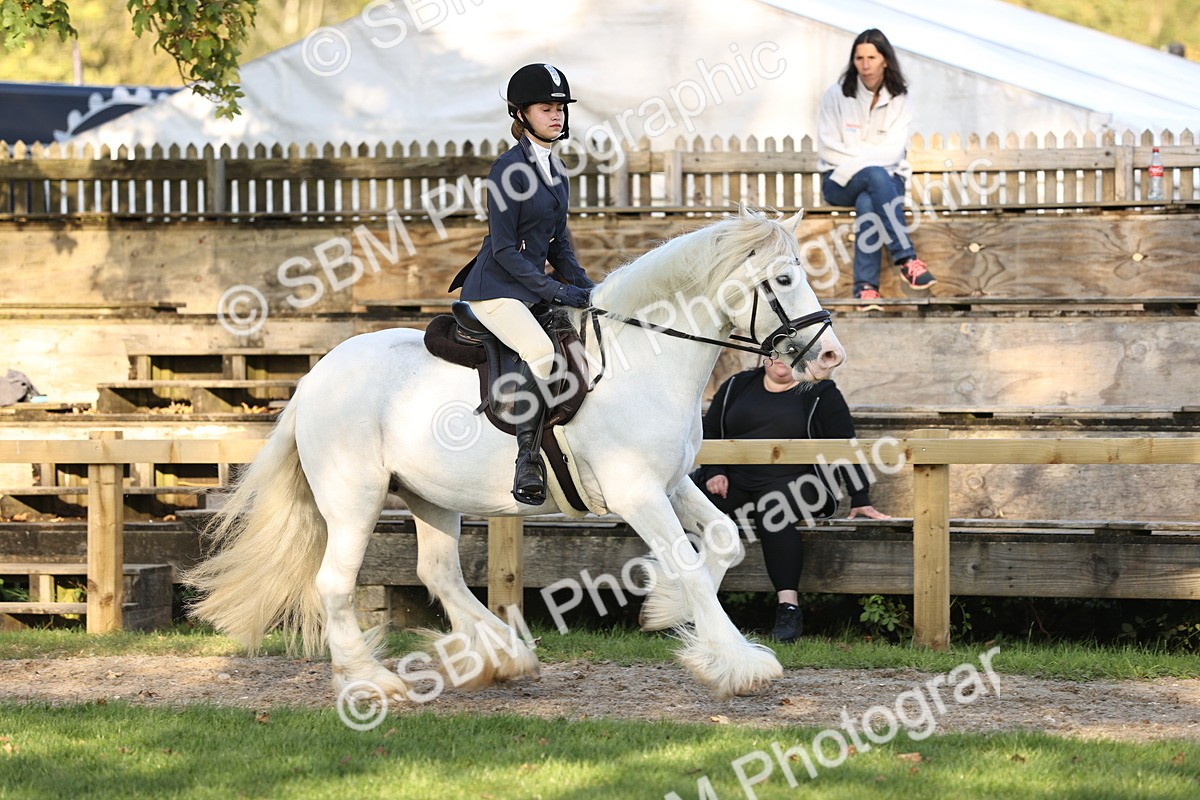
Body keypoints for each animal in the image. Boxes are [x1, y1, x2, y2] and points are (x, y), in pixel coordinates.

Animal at [184, 206, 845, 701]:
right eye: (785, 280)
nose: (831, 356)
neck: (642, 357)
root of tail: (316, 376)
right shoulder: (637, 492)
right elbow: (688, 561)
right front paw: (738, 663)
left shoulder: (673, 482)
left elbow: (723, 543)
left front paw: (663, 610)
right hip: (355, 499)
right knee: (337, 583)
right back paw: (372, 682)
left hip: (429, 496)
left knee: (438, 572)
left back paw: (500, 657)